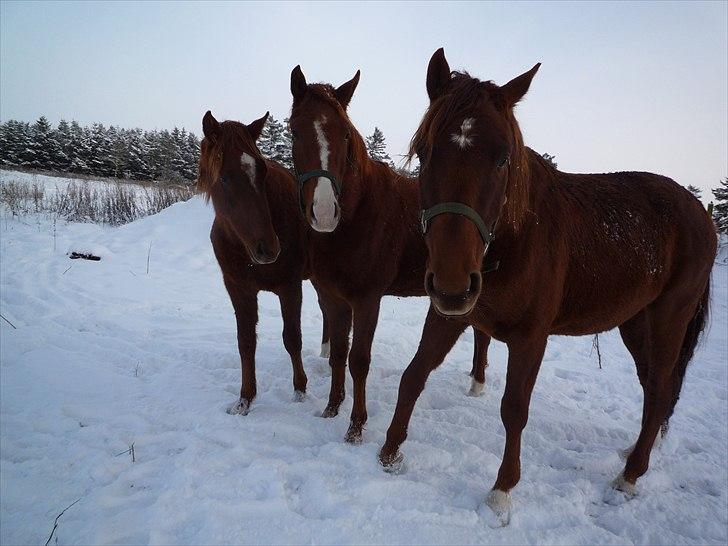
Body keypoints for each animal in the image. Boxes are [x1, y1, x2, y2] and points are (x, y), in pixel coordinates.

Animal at [196, 110, 328, 412]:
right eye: (224, 178)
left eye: (263, 171)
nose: (268, 248)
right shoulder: (238, 289)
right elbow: (245, 342)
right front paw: (245, 399)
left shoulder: (290, 286)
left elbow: (292, 338)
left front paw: (300, 390)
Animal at [288, 67, 492, 442]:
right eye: (295, 130)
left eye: (344, 135)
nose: (324, 212)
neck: (358, 214)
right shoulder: (335, 297)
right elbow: (338, 354)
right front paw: (332, 407)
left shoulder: (368, 299)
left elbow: (359, 360)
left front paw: (356, 426)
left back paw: (478, 385)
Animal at [382, 50, 716, 524]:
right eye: (425, 152)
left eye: (503, 159)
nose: (451, 282)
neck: (515, 239)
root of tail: (701, 214)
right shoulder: (452, 315)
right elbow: (414, 375)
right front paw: (389, 452)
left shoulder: (530, 338)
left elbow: (514, 409)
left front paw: (502, 492)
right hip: (636, 324)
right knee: (655, 388)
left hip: (668, 321)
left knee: (659, 391)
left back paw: (630, 475)